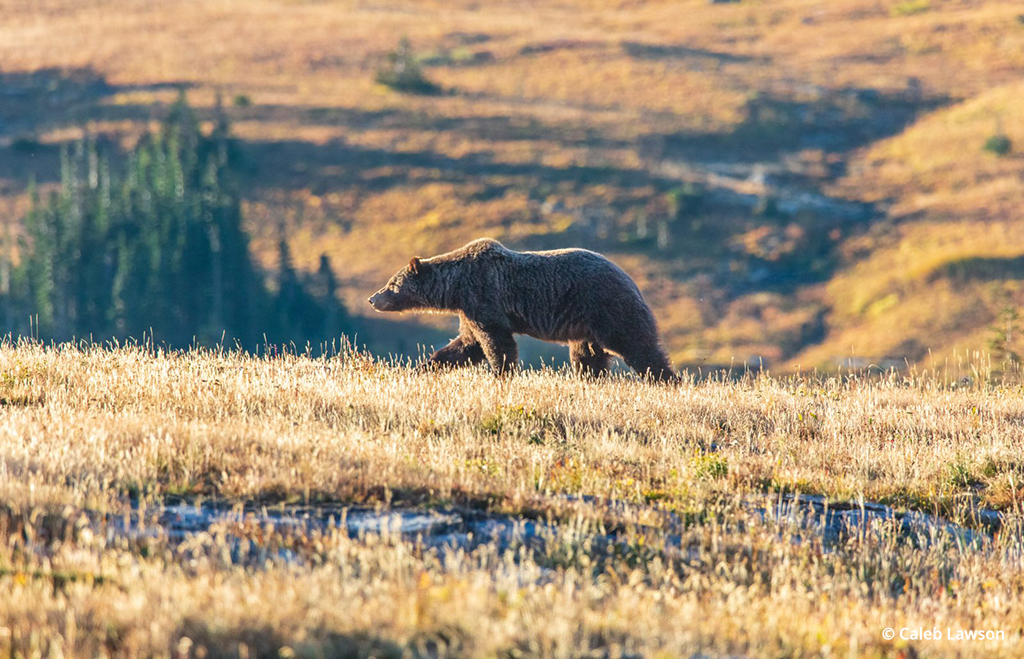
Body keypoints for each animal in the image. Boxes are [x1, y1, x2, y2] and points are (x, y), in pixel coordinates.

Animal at [370, 238, 679, 380]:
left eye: (392, 283)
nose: (373, 298)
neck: (455, 287)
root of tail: (631, 280)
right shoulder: (469, 310)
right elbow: (466, 345)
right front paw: (425, 366)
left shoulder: (484, 296)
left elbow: (496, 341)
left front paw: (501, 372)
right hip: (585, 325)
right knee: (588, 356)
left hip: (607, 307)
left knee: (636, 344)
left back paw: (666, 379)